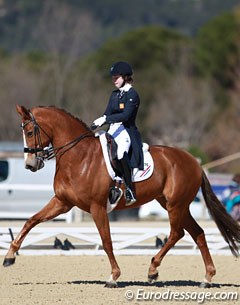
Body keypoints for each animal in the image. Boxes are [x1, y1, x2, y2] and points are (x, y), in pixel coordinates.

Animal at [2, 104, 240, 288]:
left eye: (30, 132)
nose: (30, 165)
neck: (78, 157)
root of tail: (194, 162)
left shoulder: (97, 207)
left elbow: (106, 241)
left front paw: (113, 277)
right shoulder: (62, 202)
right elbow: (31, 220)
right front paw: (10, 256)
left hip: (175, 205)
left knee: (176, 233)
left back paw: (153, 270)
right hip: (174, 204)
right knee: (197, 233)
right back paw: (207, 278)